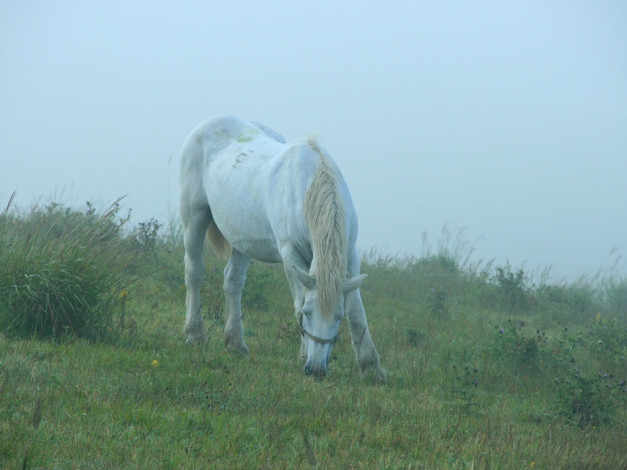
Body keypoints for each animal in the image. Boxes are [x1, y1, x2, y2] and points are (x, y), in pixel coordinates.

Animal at [182, 114, 386, 382]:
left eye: (338, 318)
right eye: (308, 314)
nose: (316, 370)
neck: (311, 187)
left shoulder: (350, 254)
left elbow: (357, 312)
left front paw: (371, 367)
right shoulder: (290, 254)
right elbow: (298, 300)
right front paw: (302, 355)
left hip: (243, 239)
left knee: (233, 281)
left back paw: (235, 343)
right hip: (194, 217)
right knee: (194, 272)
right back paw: (194, 334)